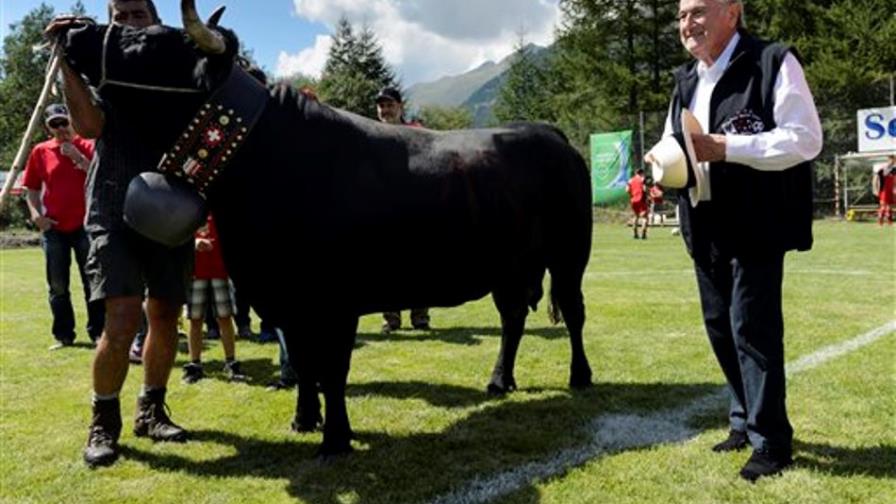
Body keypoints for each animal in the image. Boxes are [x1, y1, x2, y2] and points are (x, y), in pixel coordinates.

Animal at [58, 0, 594, 457]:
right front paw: (303, 419)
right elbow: (303, 362)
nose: (75, 29)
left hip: (570, 254)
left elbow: (332, 368)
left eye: (147, 40)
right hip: (511, 266)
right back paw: (500, 380)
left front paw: (335, 437)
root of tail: (547, 132)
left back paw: (580, 376)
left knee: (573, 312)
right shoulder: (287, 298)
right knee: (512, 319)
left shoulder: (336, 298)